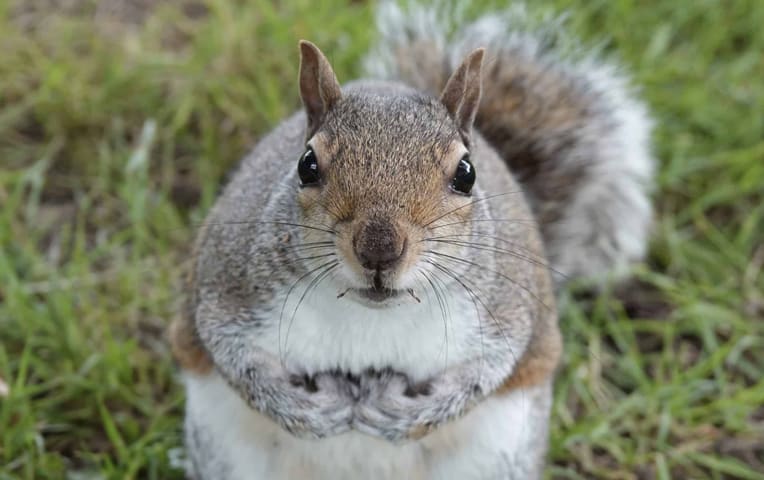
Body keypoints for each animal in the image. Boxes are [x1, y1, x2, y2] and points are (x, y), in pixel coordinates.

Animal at [170, 1, 652, 478]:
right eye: (307, 164)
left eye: (466, 174)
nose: (379, 250)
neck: (371, 316)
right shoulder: (228, 288)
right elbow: (231, 353)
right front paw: (303, 409)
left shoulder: (505, 309)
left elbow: (487, 370)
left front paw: (408, 415)